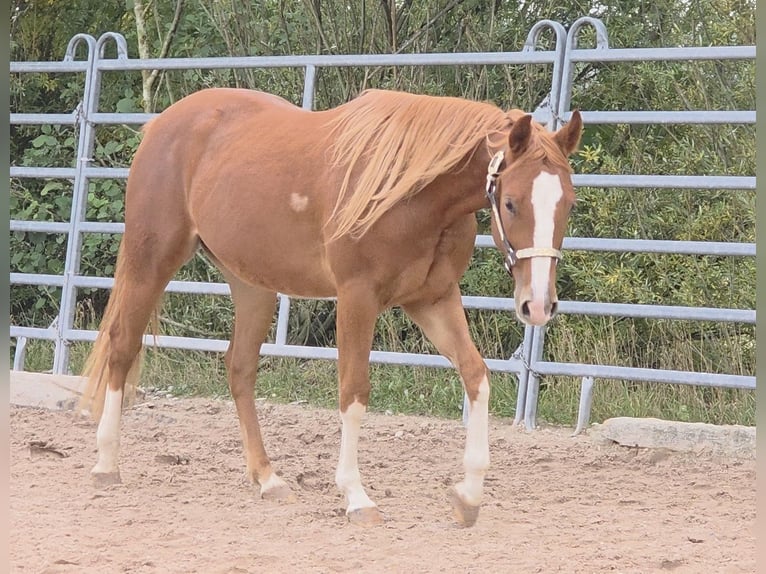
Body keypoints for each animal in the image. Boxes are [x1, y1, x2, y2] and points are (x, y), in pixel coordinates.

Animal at [79, 87, 582, 527]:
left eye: (567, 205)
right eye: (511, 203)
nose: (538, 305)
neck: (413, 193)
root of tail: (162, 124)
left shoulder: (433, 299)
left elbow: (476, 377)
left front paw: (468, 496)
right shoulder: (357, 298)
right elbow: (354, 393)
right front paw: (357, 498)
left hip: (251, 284)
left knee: (239, 368)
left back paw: (268, 479)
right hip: (152, 258)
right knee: (122, 347)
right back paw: (105, 465)